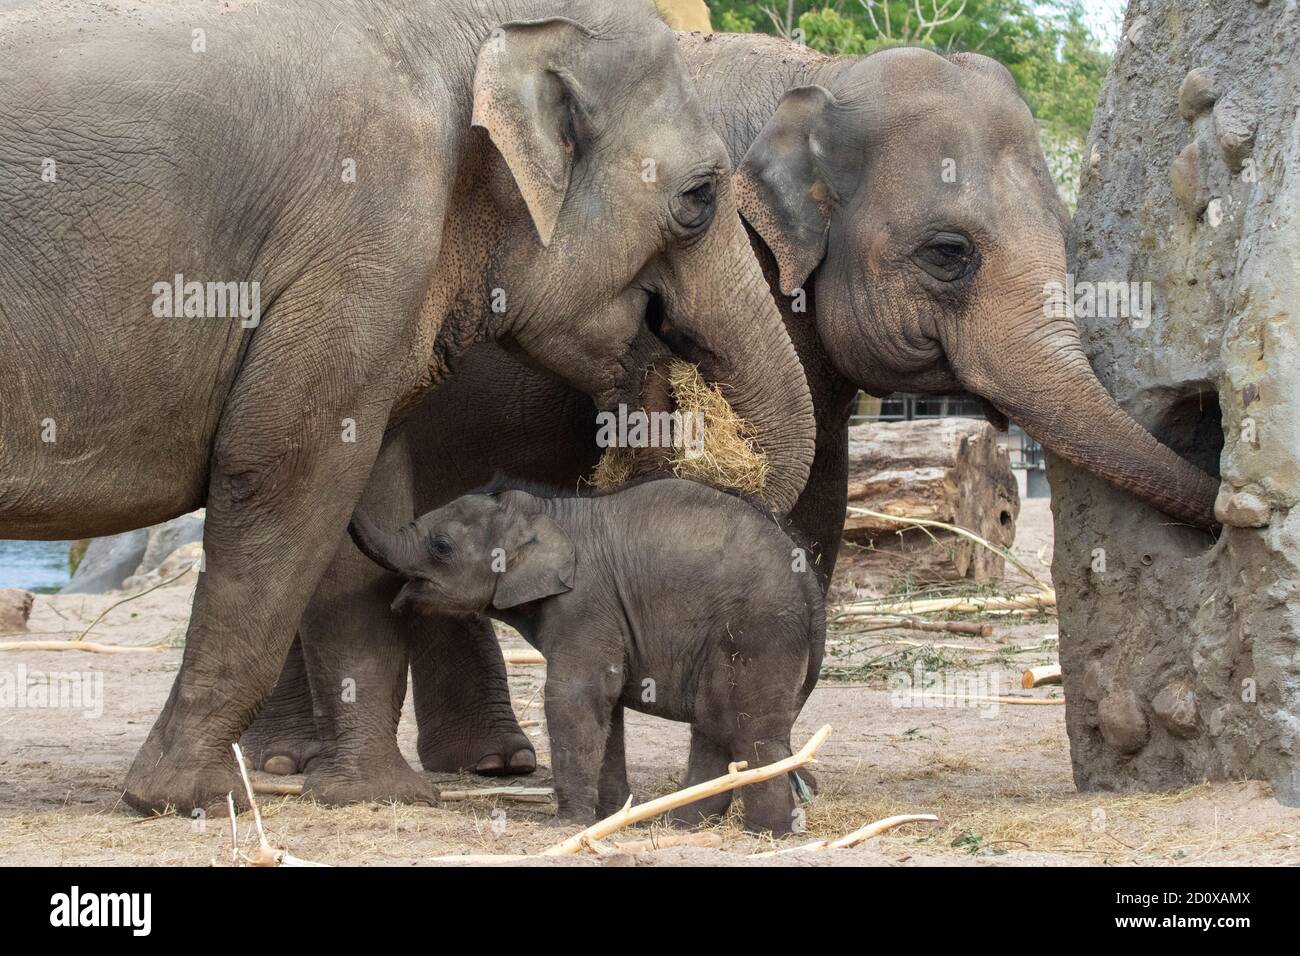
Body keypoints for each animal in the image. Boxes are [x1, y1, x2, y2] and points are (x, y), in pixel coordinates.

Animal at [241, 31, 1216, 790]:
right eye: (949, 253)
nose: (1214, 488)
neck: (823, 74)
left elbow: (820, 502)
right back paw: (290, 763)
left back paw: (492, 765)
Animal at [351, 481, 826, 832]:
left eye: (441, 546)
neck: (545, 511)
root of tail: (810, 579)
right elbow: (605, 706)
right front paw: (607, 817)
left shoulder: (584, 603)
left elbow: (573, 696)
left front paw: (567, 826)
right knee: (714, 726)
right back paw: (678, 825)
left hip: (759, 631)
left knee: (750, 729)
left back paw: (766, 833)